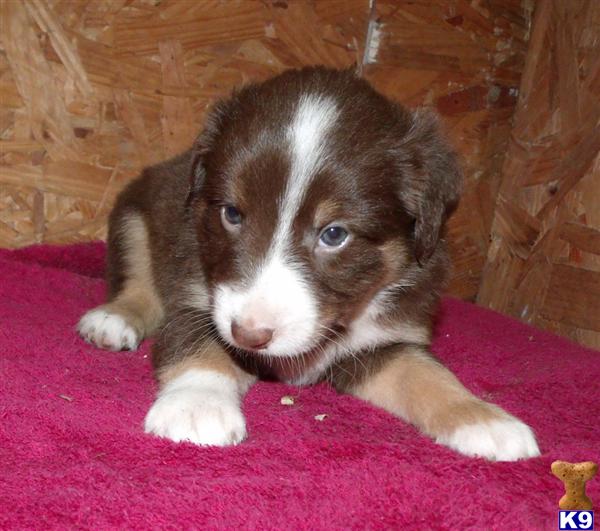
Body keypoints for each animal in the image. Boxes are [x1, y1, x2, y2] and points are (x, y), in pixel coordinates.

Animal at [77, 67, 540, 462]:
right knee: (138, 283)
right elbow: (200, 348)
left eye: (334, 234)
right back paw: (113, 320)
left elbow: (426, 374)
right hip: (134, 216)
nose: (250, 335)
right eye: (232, 213)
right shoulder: (195, 300)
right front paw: (196, 406)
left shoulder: (384, 342)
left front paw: (483, 418)